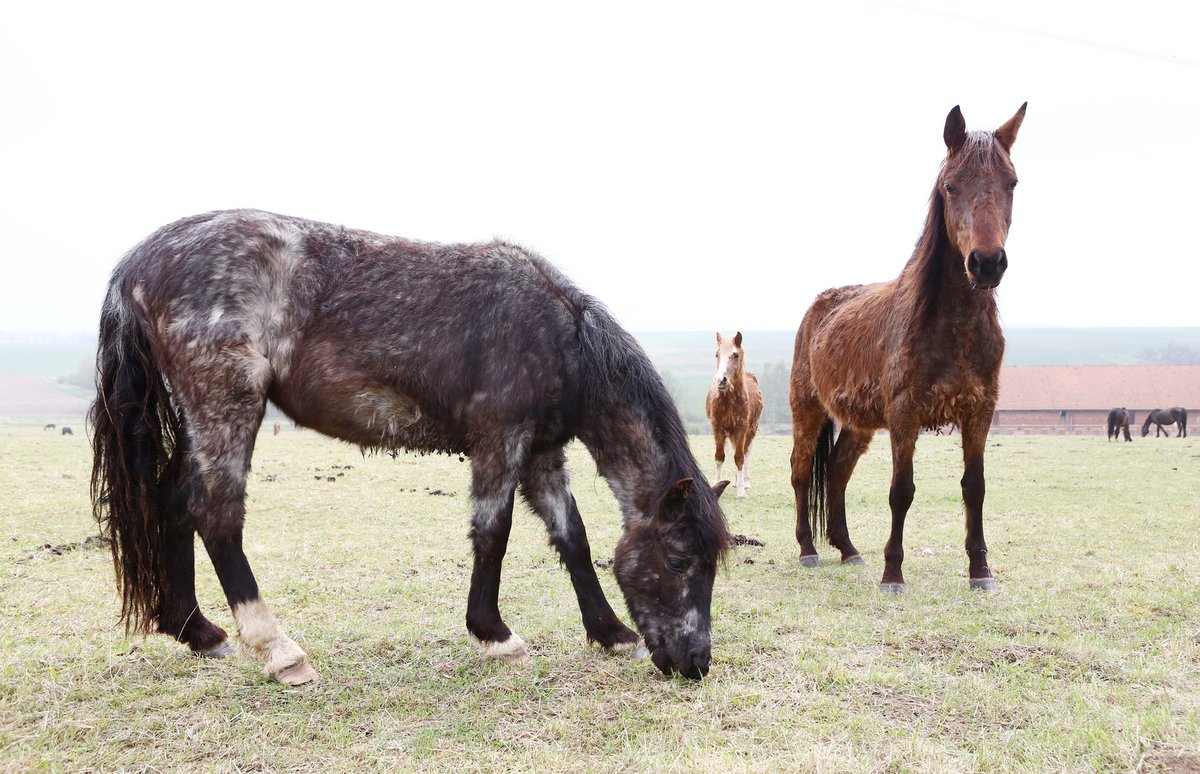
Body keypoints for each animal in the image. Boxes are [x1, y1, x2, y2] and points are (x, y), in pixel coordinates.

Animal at [88, 210, 724, 681]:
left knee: (174, 506)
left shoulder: (542, 451)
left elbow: (572, 536)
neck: (561, 337)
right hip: (226, 405)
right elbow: (493, 532)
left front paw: (610, 633)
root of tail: (139, 261)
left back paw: (197, 631)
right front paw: (495, 635)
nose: (695, 663)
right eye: (679, 560)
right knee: (216, 515)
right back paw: (280, 652)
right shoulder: (501, 440)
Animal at [705, 328, 763, 499]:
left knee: (746, 452)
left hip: (750, 430)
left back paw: (744, 482)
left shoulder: (741, 428)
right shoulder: (717, 427)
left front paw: (742, 491)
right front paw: (717, 484)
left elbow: (739, 457)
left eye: (735, 355)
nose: (721, 380)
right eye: (717, 354)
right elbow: (719, 457)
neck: (728, 400)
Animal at [787, 102, 1022, 595]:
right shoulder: (904, 413)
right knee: (800, 471)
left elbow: (975, 487)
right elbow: (902, 491)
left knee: (837, 471)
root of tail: (818, 307)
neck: (951, 328)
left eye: (1011, 183)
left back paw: (849, 550)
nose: (987, 263)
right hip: (808, 409)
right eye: (951, 186)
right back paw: (808, 549)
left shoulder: (980, 411)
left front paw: (981, 571)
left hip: (858, 423)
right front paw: (892, 573)